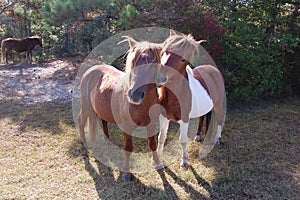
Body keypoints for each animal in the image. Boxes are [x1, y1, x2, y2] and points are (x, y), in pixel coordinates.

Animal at [77, 36, 166, 181]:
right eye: (133, 63)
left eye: (152, 65)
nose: (134, 95)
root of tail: (90, 70)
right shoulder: (127, 127)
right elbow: (128, 147)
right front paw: (126, 173)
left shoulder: (151, 124)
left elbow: (152, 144)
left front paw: (157, 164)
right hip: (86, 106)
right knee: (81, 122)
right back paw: (85, 145)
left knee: (103, 122)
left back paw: (107, 142)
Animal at [157, 30, 225, 169]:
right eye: (165, 52)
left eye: (183, 59)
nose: (160, 78)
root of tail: (214, 69)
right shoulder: (164, 116)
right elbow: (161, 138)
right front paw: (158, 163)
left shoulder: (184, 120)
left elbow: (182, 140)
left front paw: (184, 162)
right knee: (202, 117)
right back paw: (198, 136)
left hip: (218, 104)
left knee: (220, 120)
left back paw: (218, 139)